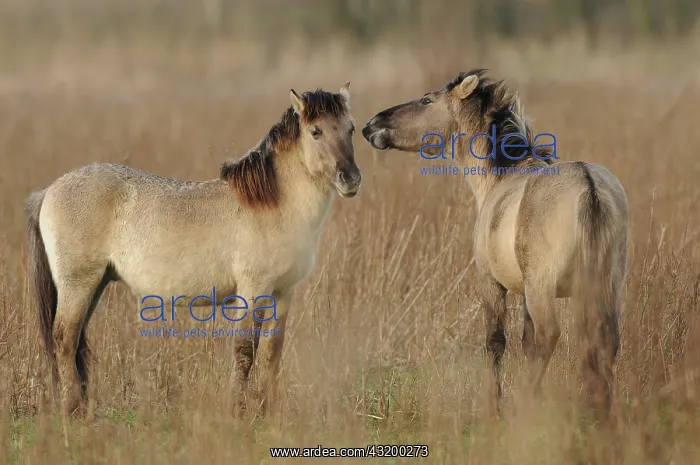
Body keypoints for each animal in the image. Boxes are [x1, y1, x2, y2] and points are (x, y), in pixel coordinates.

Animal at [26, 83, 361, 438]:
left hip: (95, 284)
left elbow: (272, 351)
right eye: (315, 131)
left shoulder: (283, 293)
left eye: (351, 128)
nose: (351, 178)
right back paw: (73, 410)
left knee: (76, 341)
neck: (273, 204)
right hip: (78, 284)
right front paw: (236, 411)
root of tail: (49, 191)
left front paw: (271, 411)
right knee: (63, 338)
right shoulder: (253, 289)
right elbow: (245, 349)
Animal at [362, 69, 628, 419]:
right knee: (605, 340)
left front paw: (493, 406)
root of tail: (589, 187)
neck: (499, 177)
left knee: (550, 335)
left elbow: (495, 342)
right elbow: (526, 343)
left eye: (426, 100)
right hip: (605, 285)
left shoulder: (490, 283)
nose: (371, 125)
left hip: (543, 288)